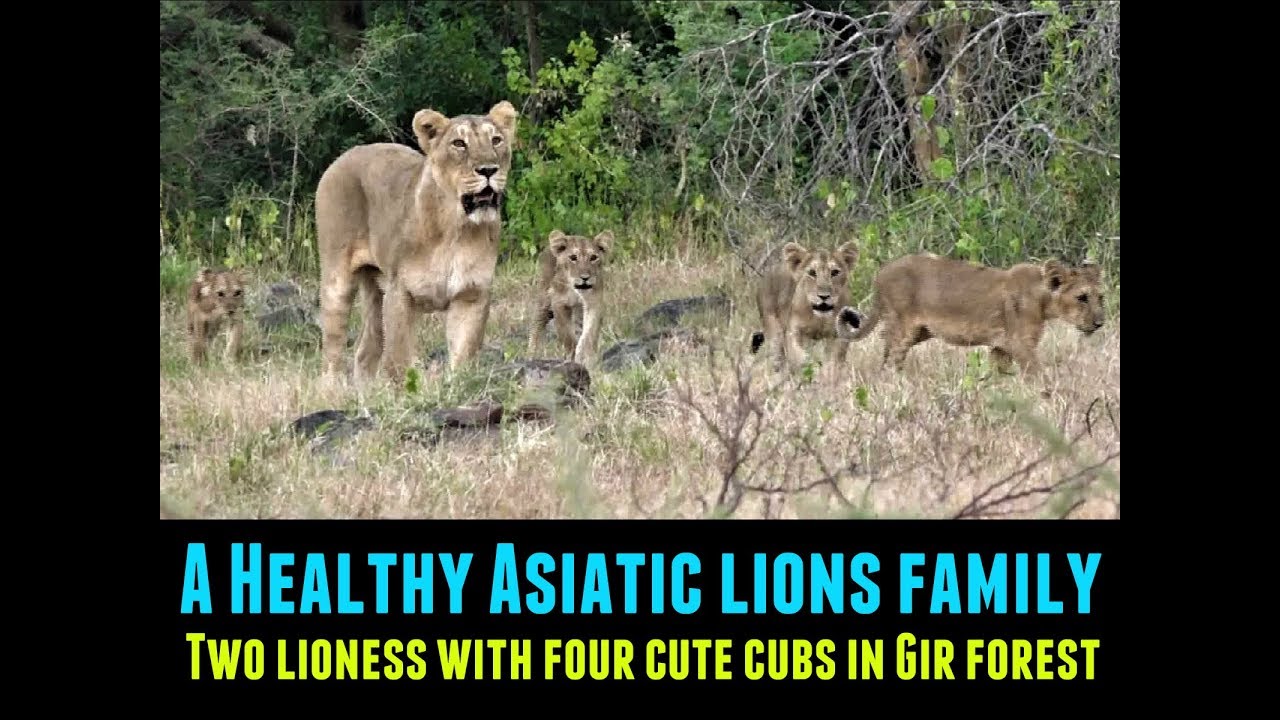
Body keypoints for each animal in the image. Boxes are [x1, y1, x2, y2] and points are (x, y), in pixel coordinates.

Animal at [314, 100, 519, 384]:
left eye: (496, 140)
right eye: (459, 144)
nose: (489, 170)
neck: (457, 230)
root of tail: (343, 157)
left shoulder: (472, 295)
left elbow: (463, 356)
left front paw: (457, 387)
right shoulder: (401, 293)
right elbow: (400, 361)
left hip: (377, 288)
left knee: (366, 350)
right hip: (338, 280)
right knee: (332, 350)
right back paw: (332, 388)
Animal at [527, 229, 614, 367]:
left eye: (593, 257)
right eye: (573, 258)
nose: (585, 278)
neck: (576, 290)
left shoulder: (594, 303)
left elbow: (589, 333)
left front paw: (586, 357)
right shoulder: (559, 304)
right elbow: (567, 335)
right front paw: (571, 356)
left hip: (578, 310)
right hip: (543, 299)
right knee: (536, 327)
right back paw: (530, 356)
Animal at [749, 241, 864, 373]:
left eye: (835, 272)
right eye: (812, 273)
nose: (824, 296)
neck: (819, 318)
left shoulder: (838, 333)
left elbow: (835, 358)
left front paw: (830, 372)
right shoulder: (793, 331)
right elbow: (798, 356)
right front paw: (807, 368)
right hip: (774, 332)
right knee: (778, 358)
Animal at [845, 253, 1107, 378]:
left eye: (1100, 297)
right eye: (1082, 297)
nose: (1100, 323)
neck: (1042, 298)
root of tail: (880, 274)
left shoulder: (1001, 347)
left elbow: (998, 375)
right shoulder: (1020, 344)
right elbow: (1038, 374)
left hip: (920, 331)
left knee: (886, 349)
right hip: (903, 326)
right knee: (892, 357)